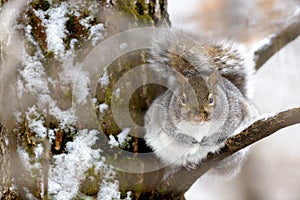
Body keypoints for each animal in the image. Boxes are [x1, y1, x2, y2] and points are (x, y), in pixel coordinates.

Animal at [144, 28, 256, 178]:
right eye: (183, 99)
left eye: (211, 99)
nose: (198, 117)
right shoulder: (164, 116)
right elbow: (172, 132)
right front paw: (188, 140)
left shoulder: (235, 113)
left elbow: (228, 128)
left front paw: (209, 140)